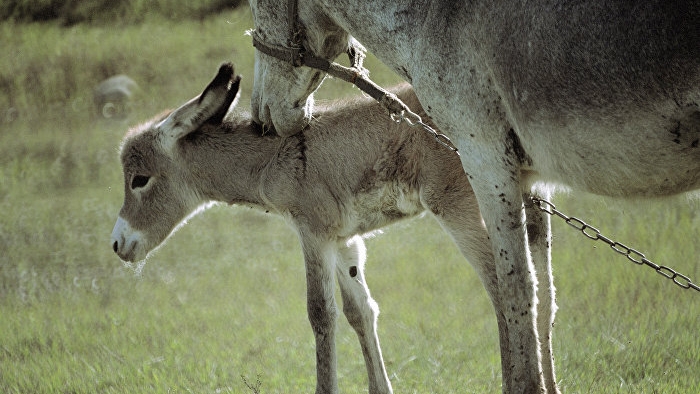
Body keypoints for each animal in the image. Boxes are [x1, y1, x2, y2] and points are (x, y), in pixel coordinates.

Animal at [110, 64, 492, 394]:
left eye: (139, 179)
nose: (117, 244)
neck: (274, 158)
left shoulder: (313, 233)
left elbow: (321, 313)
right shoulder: (343, 240)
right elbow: (359, 311)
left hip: (458, 203)